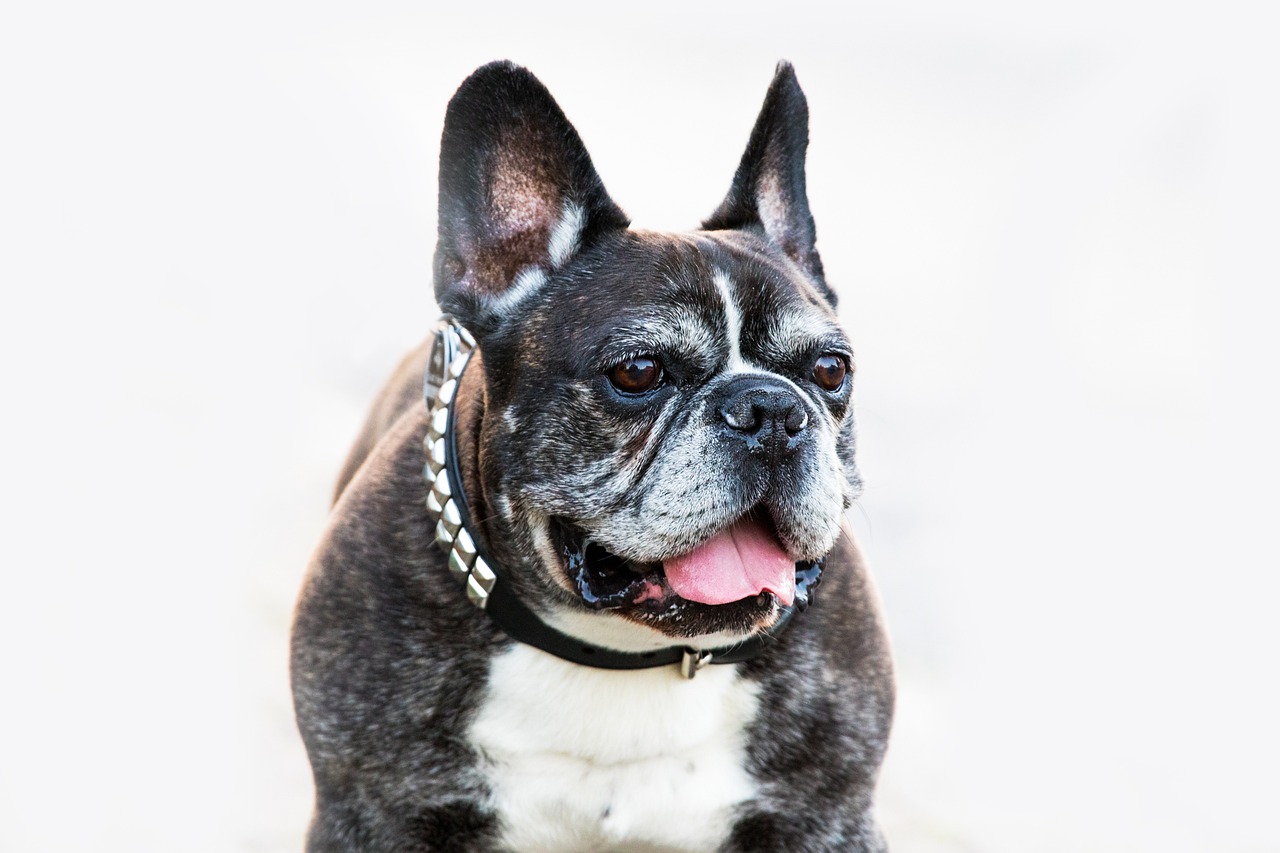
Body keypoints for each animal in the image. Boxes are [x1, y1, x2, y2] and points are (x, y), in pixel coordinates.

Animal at [291, 61, 896, 850]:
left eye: (830, 370)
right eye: (638, 372)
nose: (770, 409)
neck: (621, 654)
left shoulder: (825, 818)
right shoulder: (372, 814)